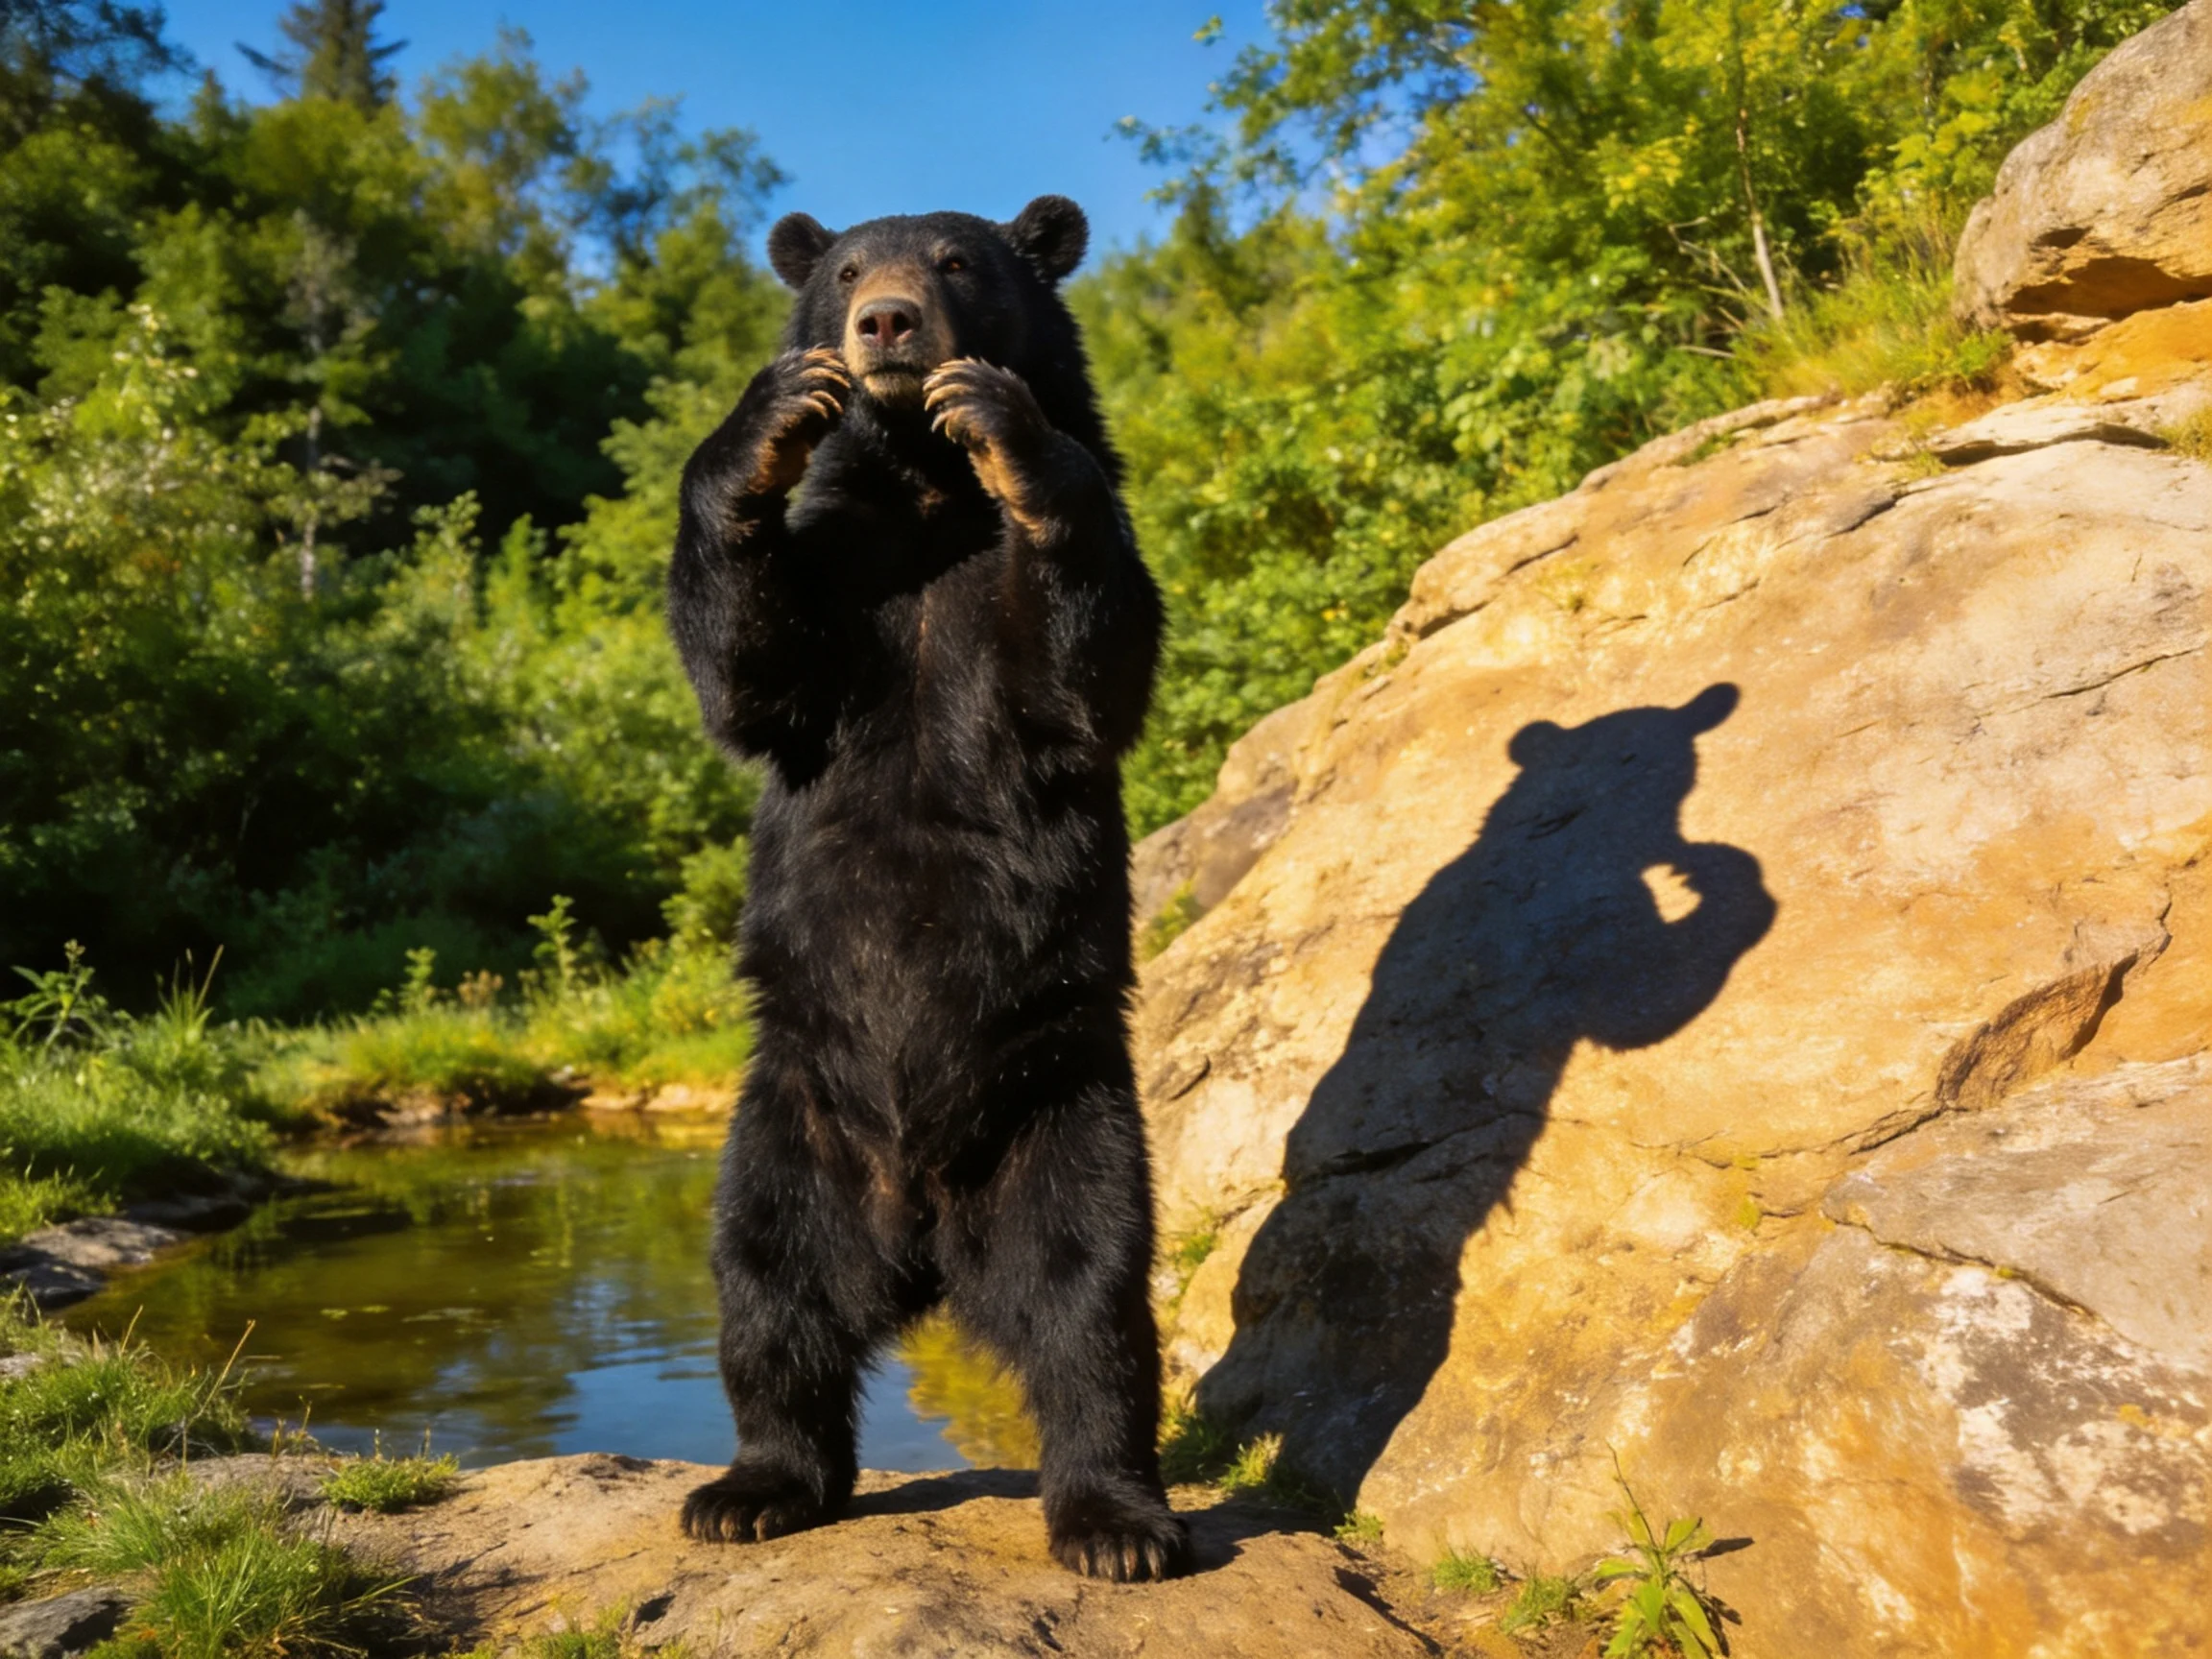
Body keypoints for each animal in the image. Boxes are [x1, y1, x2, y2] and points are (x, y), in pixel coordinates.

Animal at [664, 195, 1187, 1582]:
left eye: (957, 261)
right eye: (846, 267)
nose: (886, 324)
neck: (923, 494)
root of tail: (919, 1244)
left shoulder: (1029, 600)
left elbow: (1086, 661)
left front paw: (1003, 419)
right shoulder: (839, 589)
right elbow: (748, 669)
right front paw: (769, 416)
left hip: (1066, 1116)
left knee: (1089, 1309)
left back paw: (1115, 1520)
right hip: (784, 1129)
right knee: (768, 1296)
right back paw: (754, 1486)